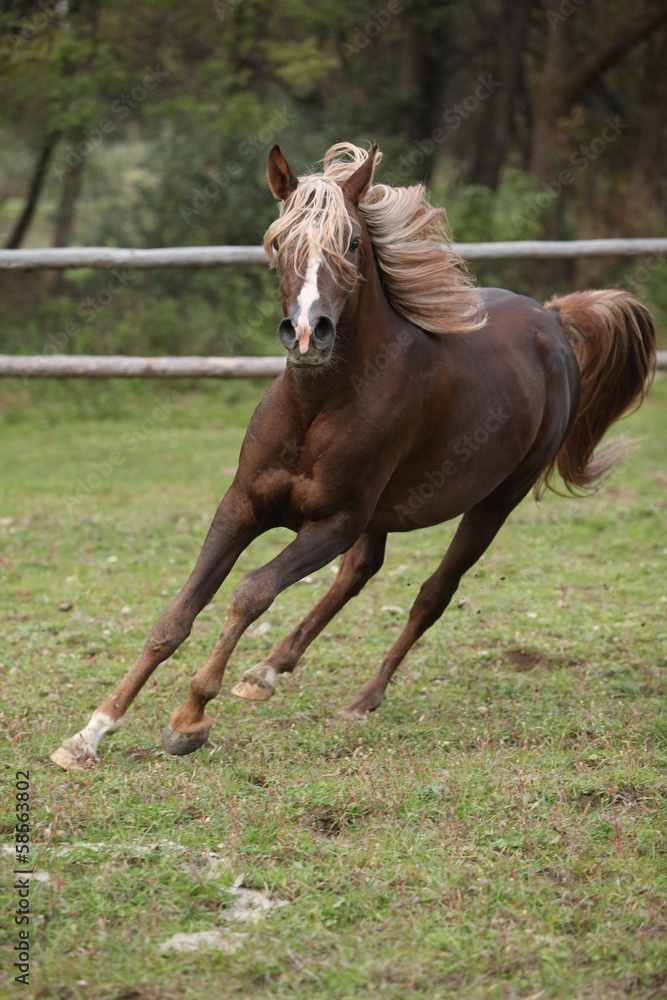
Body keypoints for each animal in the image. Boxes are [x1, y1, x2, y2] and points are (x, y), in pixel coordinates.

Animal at [51, 142, 656, 769]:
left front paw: (188, 720)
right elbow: (176, 616)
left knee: (432, 595)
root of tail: (554, 318)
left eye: (353, 243)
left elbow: (251, 593)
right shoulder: (242, 506)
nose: (306, 334)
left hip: (493, 504)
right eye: (279, 242)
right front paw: (91, 732)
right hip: (384, 511)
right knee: (359, 573)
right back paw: (266, 672)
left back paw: (363, 699)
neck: (317, 406)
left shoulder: (333, 522)